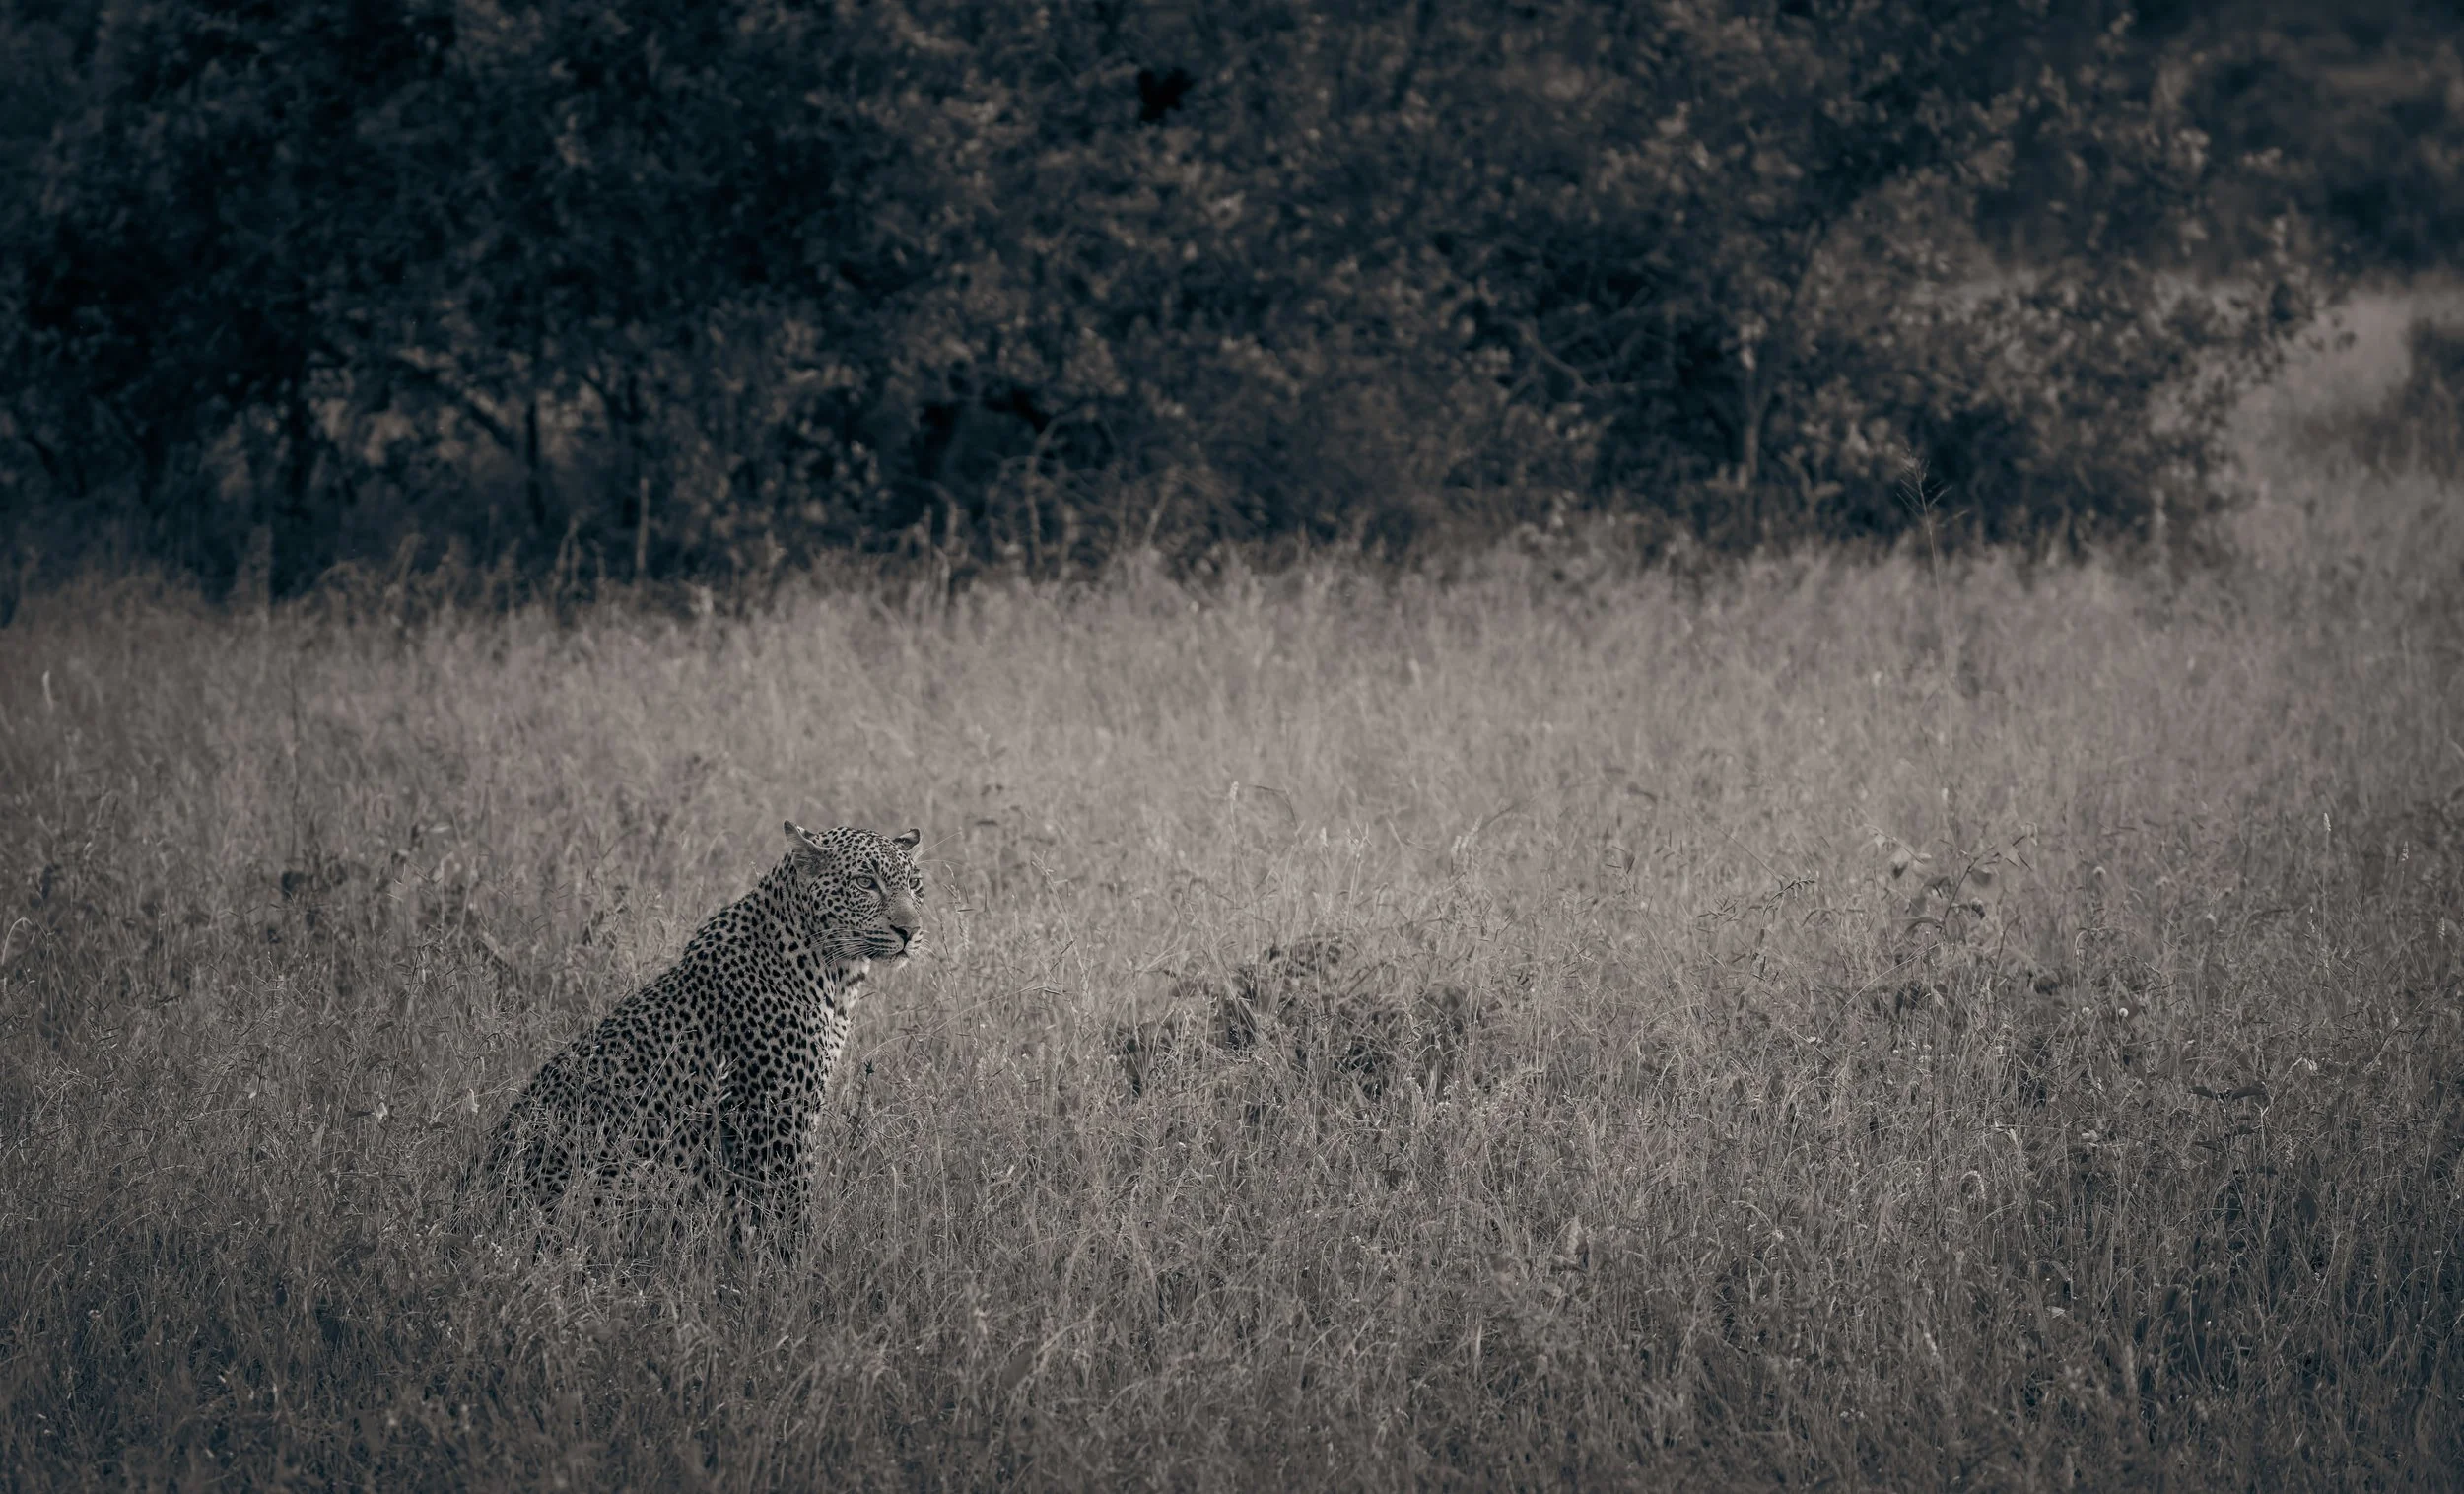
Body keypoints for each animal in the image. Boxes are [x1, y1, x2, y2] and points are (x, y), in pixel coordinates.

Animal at [477, 821, 923, 1234]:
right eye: (866, 883)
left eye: (915, 885)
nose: (911, 931)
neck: (836, 975)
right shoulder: (777, 1115)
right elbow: (790, 1207)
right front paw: (799, 1264)